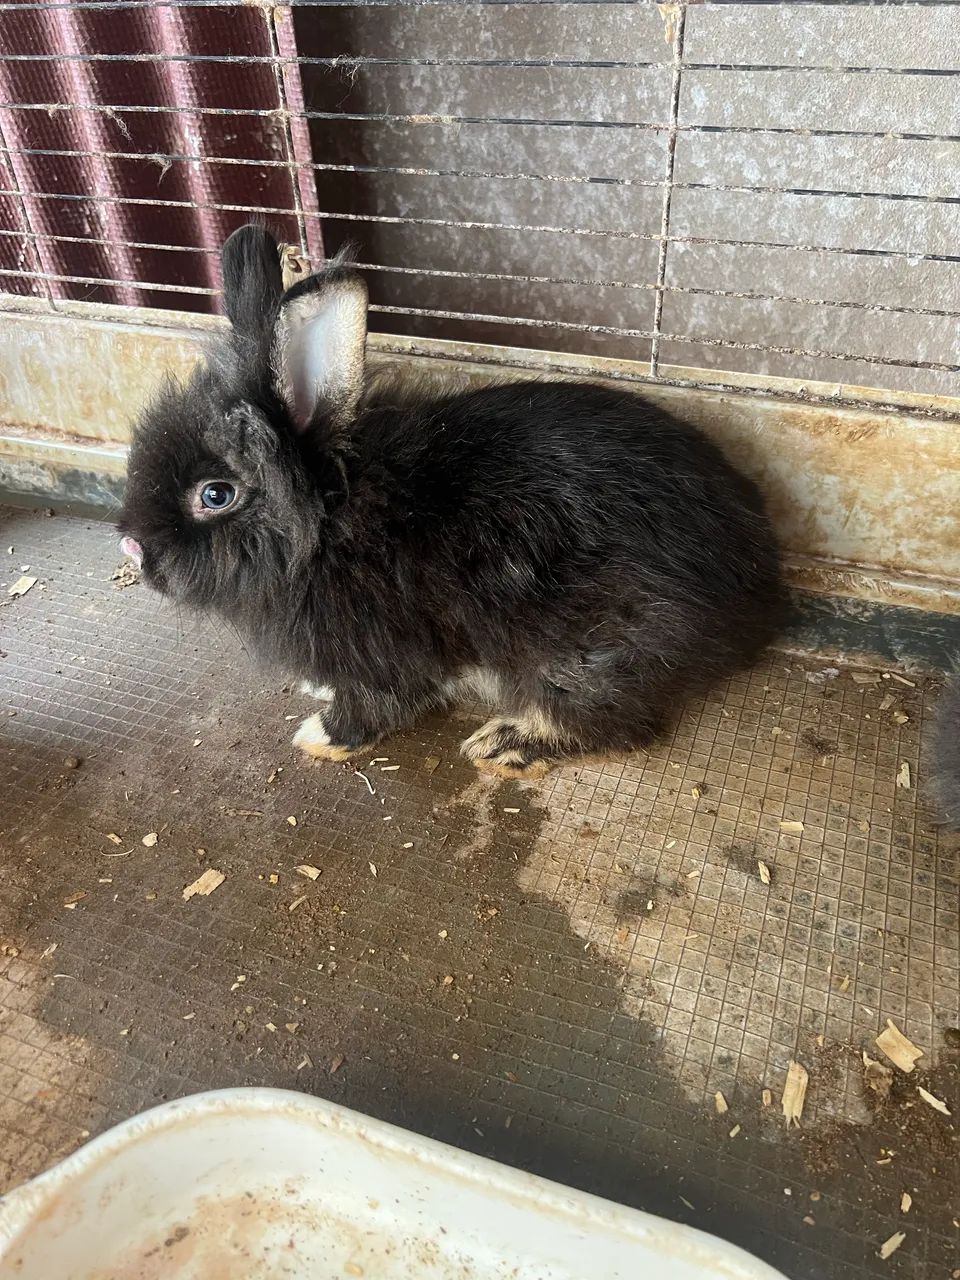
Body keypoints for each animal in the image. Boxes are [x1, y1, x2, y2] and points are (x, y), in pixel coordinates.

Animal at [118, 224, 787, 779]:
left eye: (215, 494)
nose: (130, 545)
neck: (330, 522)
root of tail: (759, 594)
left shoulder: (384, 652)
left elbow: (377, 703)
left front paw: (321, 736)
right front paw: (315, 692)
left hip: (580, 653)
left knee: (614, 721)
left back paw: (504, 744)